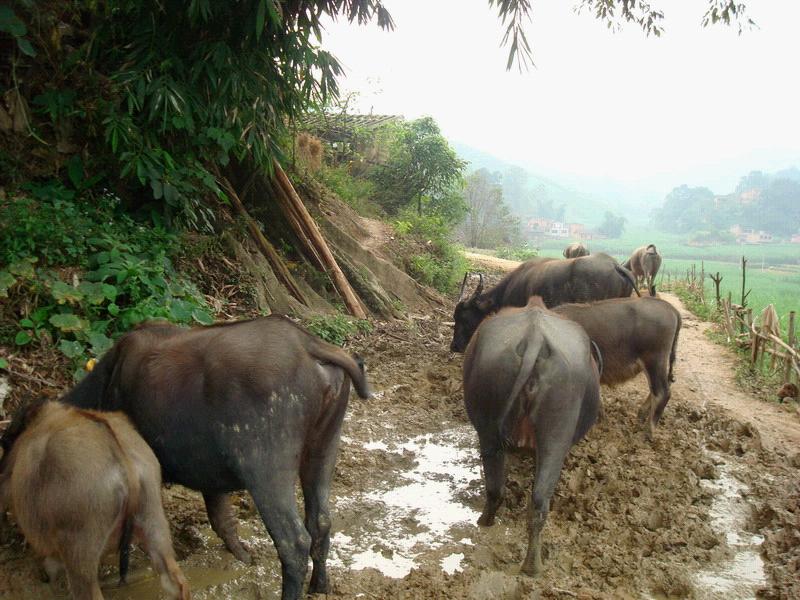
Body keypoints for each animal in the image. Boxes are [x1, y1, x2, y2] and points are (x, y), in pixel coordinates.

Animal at [61, 316, 370, 596]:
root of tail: (307, 344)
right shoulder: (210, 476)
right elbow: (222, 519)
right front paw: (243, 556)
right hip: (322, 449)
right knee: (320, 522)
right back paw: (320, 586)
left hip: (266, 469)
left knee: (293, 542)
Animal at [556, 296, 680, 440]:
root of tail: (671, 308)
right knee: (659, 388)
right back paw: (641, 415)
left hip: (654, 361)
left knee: (662, 392)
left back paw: (647, 432)